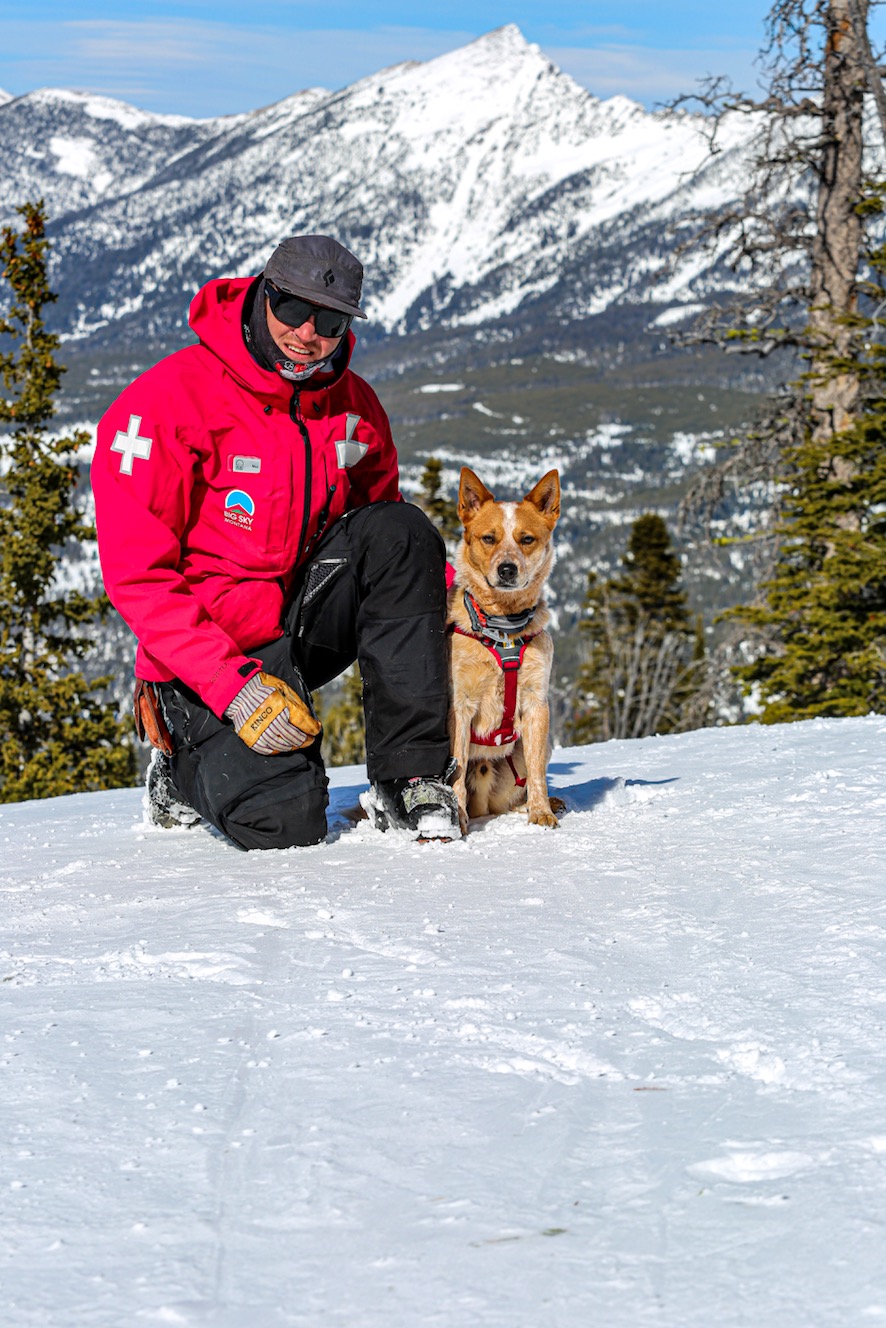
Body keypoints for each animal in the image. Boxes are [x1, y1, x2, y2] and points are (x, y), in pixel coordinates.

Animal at [451, 472, 560, 833]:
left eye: (526, 539)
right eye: (489, 538)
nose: (508, 569)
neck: (504, 630)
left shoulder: (536, 703)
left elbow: (538, 771)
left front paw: (541, 812)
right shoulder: (459, 705)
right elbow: (455, 768)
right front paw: (456, 819)